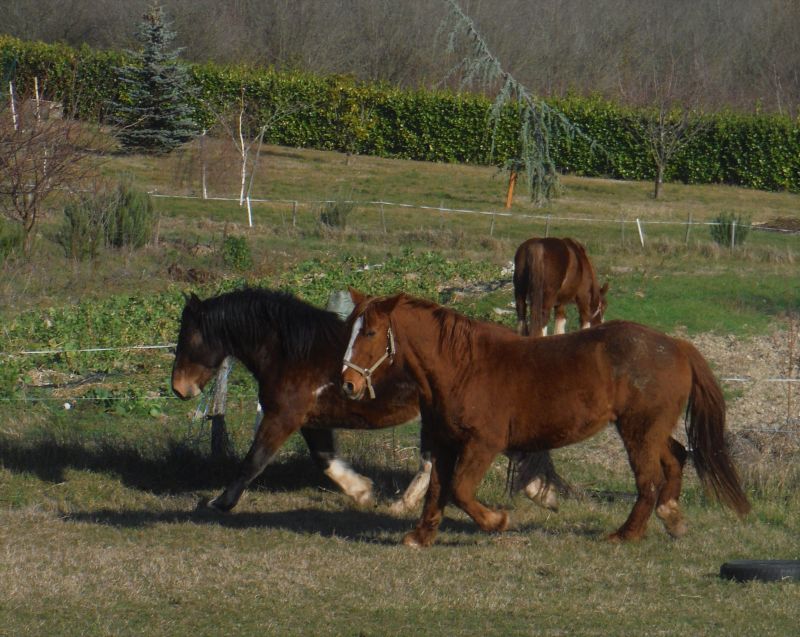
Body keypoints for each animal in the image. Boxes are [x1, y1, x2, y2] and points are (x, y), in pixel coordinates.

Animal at [170, 288, 556, 512]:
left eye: (188, 336)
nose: (179, 388)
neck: (293, 352)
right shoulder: (309, 421)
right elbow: (324, 459)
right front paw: (362, 492)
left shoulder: (282, 418)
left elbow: (253, 461)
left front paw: (220, 502)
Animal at [342, 292, 752, 548]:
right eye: (350, 329)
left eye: (371, 332)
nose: (347, 384)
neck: (461, 366)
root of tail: (676, 346)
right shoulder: (444, 442)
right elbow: (438, 490)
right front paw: (421, 536)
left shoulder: (483, 444)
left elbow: (459, 490)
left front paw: (498, 521)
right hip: (649, 430)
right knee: (677, 457)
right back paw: (672, 518)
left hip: (638, 431)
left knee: (649, 480)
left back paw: (627, 534)